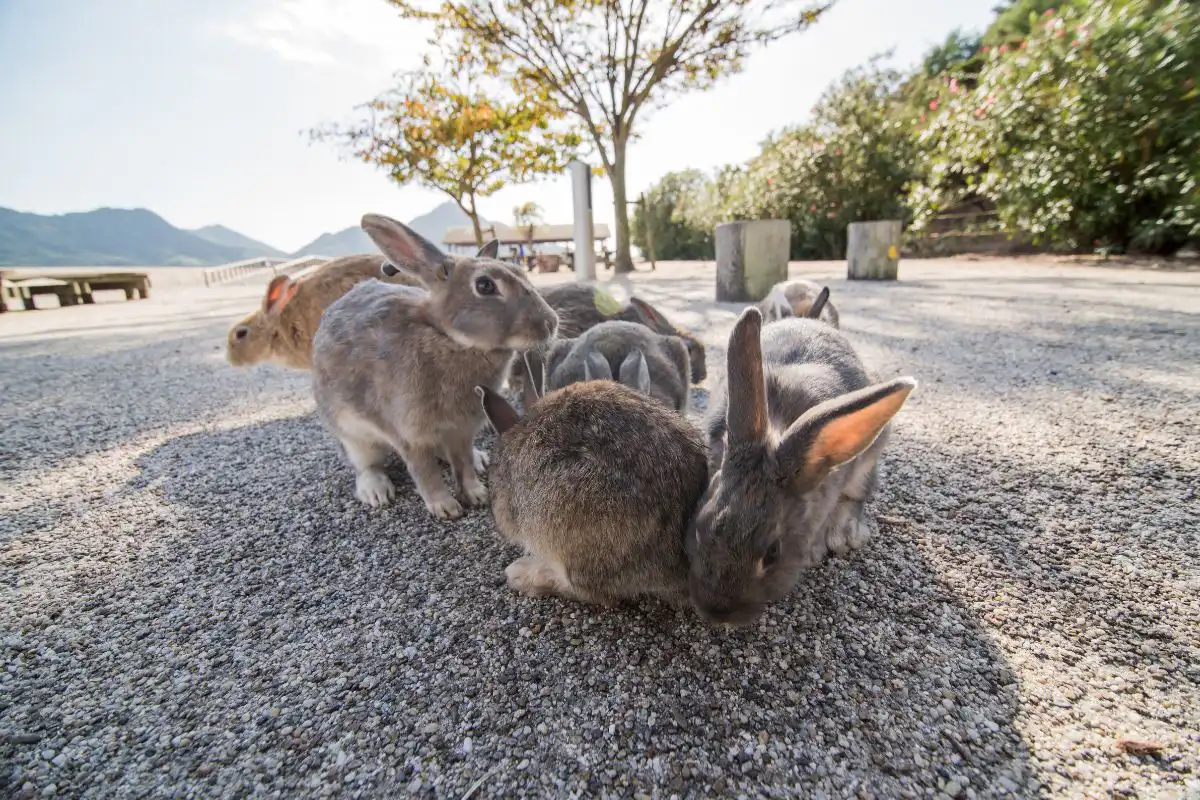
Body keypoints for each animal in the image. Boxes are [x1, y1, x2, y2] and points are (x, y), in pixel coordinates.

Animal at [311, 213, 559, 520]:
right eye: (485, 286)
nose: (550, 323)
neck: (449, 338)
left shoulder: (463, 429)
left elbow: (462, 463)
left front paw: (476, 494)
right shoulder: (409, 434)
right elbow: (424, 472)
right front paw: (445, 507)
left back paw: (479, 459)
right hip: (353, 435)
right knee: (366, 464)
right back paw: (375, 491)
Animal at [687, 307, 916, 627]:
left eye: (772, 552)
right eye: (701, 527)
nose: (716, 612)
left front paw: (815, 552)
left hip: (866, 465)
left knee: (858, 494)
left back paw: (844, 534)